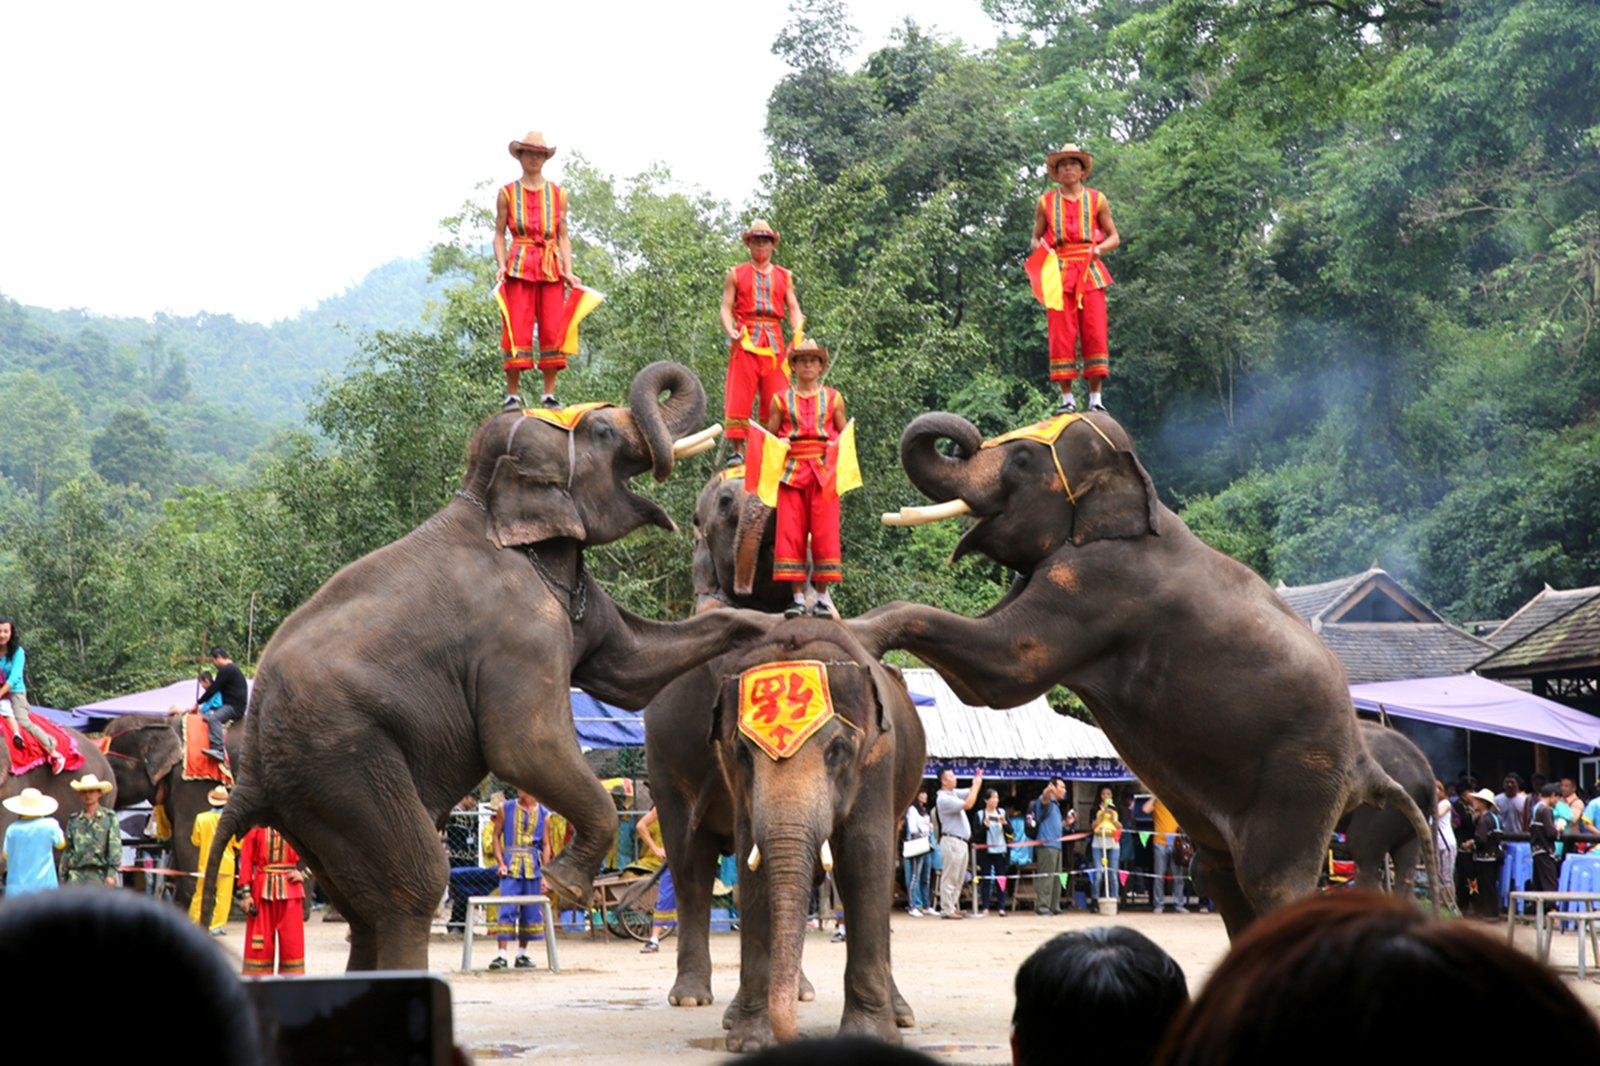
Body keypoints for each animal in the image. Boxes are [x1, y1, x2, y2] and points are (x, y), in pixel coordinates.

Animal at [203, 361, 777, 966]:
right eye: (601, 433)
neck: (486, 499)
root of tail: (251, 767)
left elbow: (632, 669)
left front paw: (775, 625)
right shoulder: (517, 631)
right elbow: (525, 746)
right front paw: (565, 883)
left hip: (311, 797)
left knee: (362, 908)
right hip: (340, 759)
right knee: (414, 885)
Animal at [646, 614, 928, 1043]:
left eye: (838, 750)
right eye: (742, 753)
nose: (793, 1037)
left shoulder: (879, 760)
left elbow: (864, 860)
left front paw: (868, 1037)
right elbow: (754, 867)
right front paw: (748, 1040)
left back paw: (896, 1013)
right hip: (665, 773)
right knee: (689, 864)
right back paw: (692, 999)